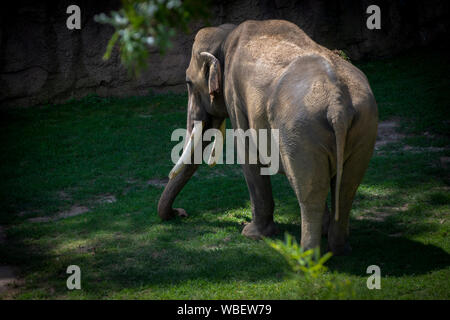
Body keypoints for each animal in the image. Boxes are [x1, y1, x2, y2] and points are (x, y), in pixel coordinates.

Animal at [156, 20, 378, 255]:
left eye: (188, 83)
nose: (181, 213)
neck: (226, 35)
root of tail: (338, 105)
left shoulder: (235, 96)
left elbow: (248, 154)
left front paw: (251, 234)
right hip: (365, 125)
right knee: (346, 188)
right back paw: (339, 249)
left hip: (301, 131)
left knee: (310, 191)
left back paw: (306, 255)